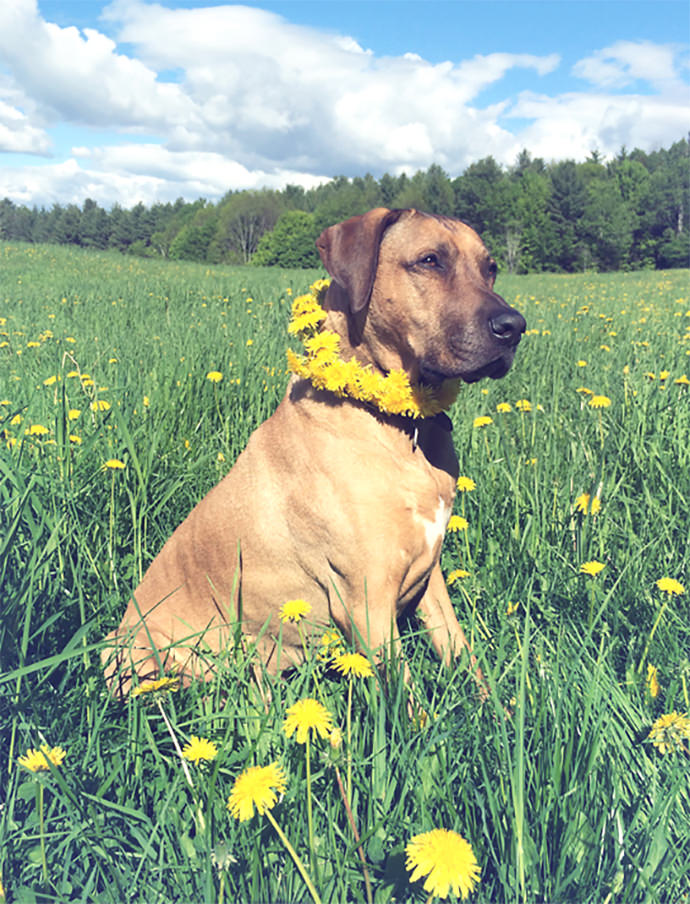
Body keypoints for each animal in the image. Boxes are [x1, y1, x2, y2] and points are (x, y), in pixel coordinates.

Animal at [101, 208, 520, 696]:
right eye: (430, 260)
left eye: (491, 268)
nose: (514, 326)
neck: (398, 424)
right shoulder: (366, 598)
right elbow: (405, 698)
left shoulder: (429, 575)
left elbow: (461, 651)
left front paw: (496, 709)